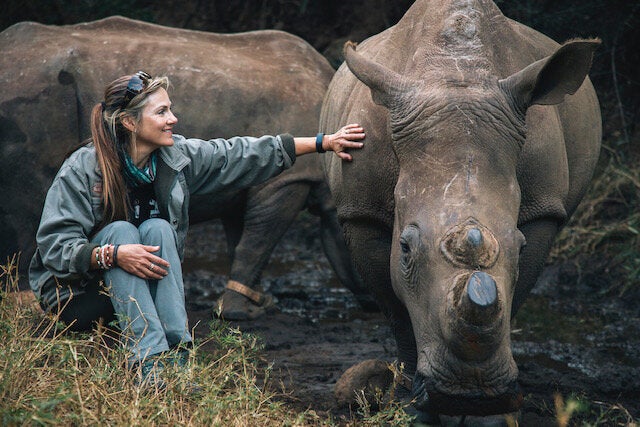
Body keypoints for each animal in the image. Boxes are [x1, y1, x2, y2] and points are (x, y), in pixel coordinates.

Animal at [322, 0, 604, 422]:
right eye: (405, 248)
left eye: (520, 246)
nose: (469, 396)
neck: (456, 74)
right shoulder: (361, 210)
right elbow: (397, 310)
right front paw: (413, 407)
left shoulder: (543, 209)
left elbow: (512, 297)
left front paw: (491, 416)